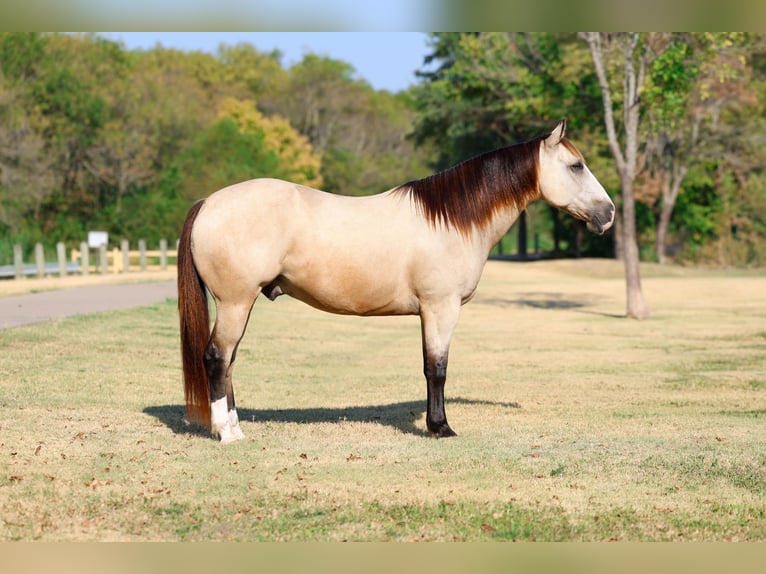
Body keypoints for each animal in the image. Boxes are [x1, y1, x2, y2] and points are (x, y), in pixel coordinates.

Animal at [177, 120, 615, 443]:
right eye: (576, 166)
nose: (608, 214)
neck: (450, 221)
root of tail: (208, 202)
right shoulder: (440, 307)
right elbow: (436, 368)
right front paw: (440, 428)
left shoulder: (429, 311)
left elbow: (430, 366)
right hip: (235, 302)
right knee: (216, 357)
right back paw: (226, 432)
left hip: (240, 303)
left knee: (228, 360)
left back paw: (235, 427)